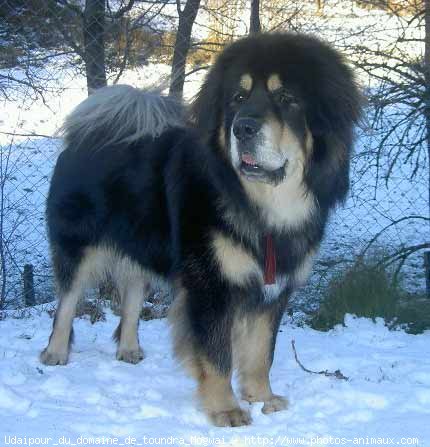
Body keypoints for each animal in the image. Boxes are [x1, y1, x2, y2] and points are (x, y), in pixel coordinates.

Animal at [41, 32, 362, 428]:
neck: (261, 209)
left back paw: (129, 348)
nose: (243, 127)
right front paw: (227, 410)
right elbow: (217, 355)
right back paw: (54, 353)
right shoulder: (211, 286)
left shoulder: (273, 291)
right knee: (66, 302)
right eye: (238, 98)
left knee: (131, 296)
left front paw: (261, 398)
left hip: (141, 247)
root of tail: (85, 138)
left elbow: (261, 353)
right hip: (78, 247)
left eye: (286, 99)